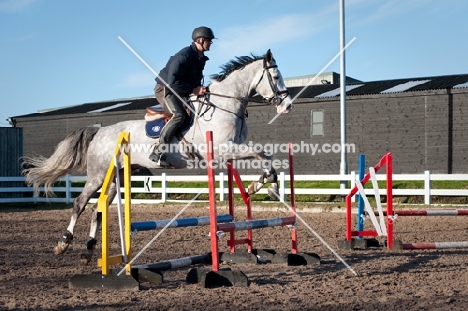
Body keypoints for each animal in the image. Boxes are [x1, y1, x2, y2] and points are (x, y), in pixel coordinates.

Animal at [22, 49, 292, 266]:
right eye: (276, 77)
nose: (287, 105)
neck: (224, 107)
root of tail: (100, 131)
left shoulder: (233, 150)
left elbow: (266, 155)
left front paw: (264, 185)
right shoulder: (223, 149)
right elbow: (261, 151)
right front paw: (264, 185)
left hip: (116, 178)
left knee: (98, 208)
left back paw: (88, 251)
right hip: (98, 175)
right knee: (80, 202)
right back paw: (63, 243)